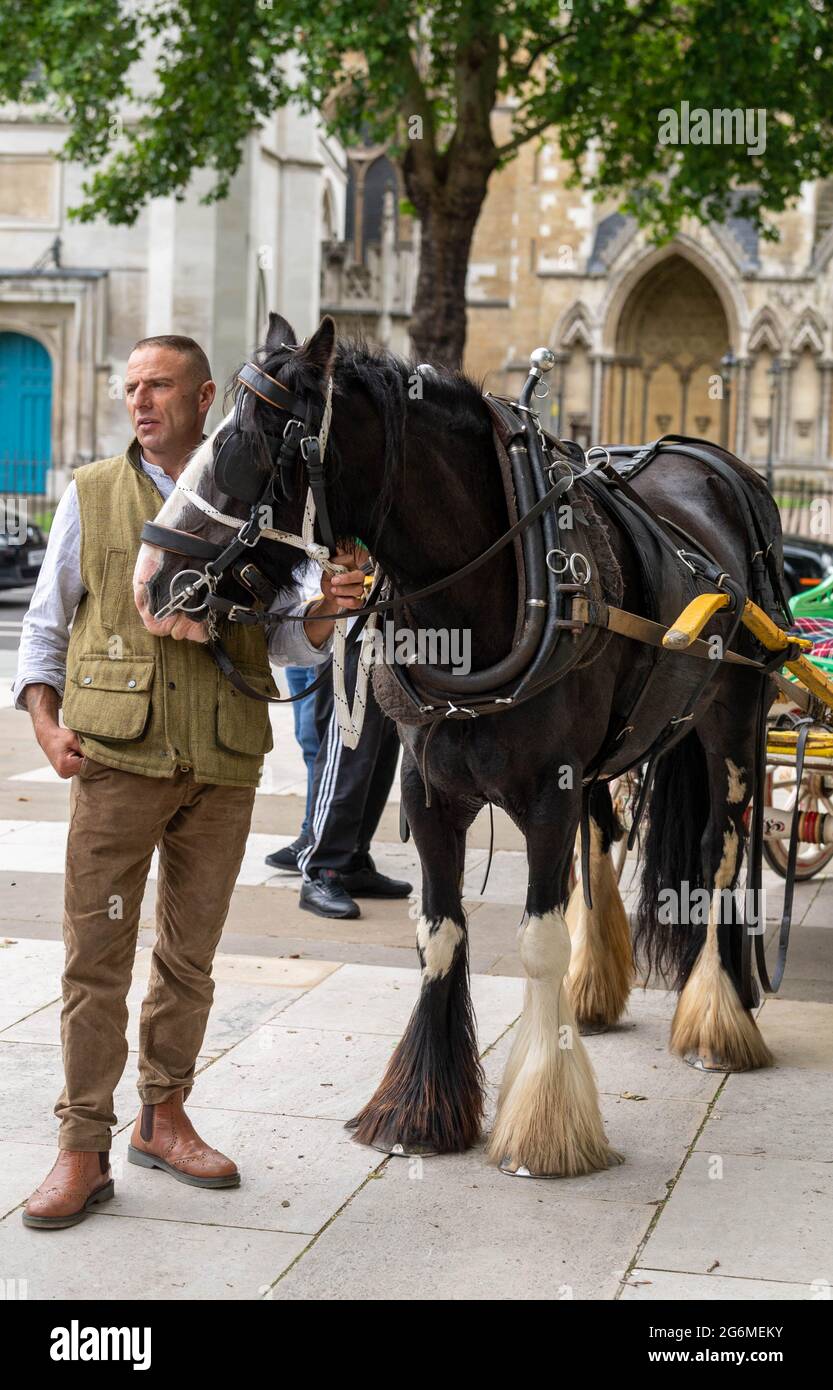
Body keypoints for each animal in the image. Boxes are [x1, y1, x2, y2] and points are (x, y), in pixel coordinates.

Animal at [133, 312, 778, 1173]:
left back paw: (719, 1011)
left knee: (722, 847)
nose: (151, 580)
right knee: (604, 843)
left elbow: (537, 940)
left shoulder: (547, 794)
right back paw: (594, 994)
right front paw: (420, 1111)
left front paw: (543, 1126)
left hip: (733, 716)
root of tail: (712, 461)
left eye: (251, 448)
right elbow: (440, 936)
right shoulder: (429, 791)